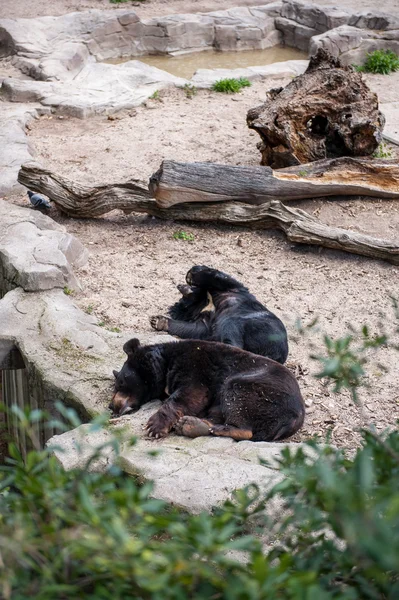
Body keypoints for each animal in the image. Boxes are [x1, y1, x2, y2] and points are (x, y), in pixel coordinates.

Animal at [109, 338, 304, 440]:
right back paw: (191, 424)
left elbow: (192, 393)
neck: (165, 364)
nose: (112, 406)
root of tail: (296, 418)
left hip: (258, 391)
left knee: (239, 403)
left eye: (120, 383)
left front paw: (155, 426)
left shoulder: (195, 365)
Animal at [149, 264, 288, 364]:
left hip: (260, 327)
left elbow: (223, 279)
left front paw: (192, 273)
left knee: (231, 330)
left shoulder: (233, 290)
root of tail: (276, 356)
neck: (206, 301)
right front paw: (157, 321)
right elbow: (194, 328)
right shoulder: (204, 319)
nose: (179, 286)